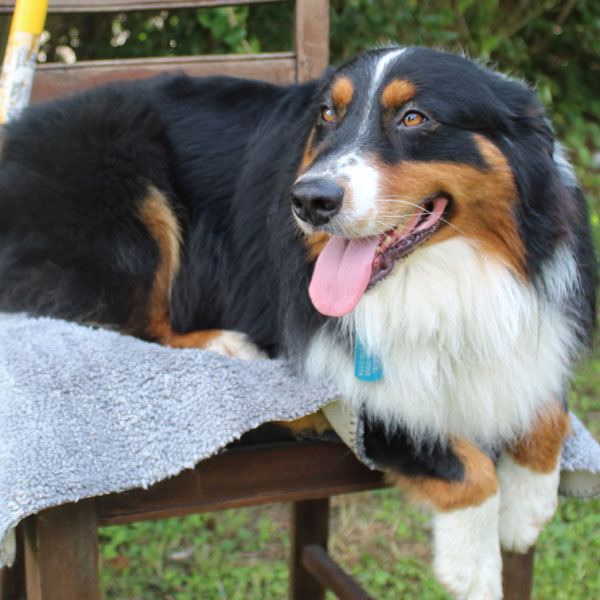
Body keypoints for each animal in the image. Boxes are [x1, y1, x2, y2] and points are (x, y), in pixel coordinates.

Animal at [0, 48, 596, 600]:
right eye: (327, 116)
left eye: (415, 118)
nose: (310, 200)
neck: (443, 275)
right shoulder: (355, 389)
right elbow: (464, 464)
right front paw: (475, 566)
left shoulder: (535, 328)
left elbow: (549, 409)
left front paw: (527, 508)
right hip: (128, 206)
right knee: (126, 319)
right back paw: (224, 345)